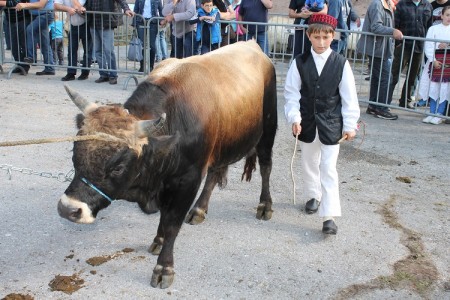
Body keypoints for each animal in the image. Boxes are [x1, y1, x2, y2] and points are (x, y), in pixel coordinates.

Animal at [57, 40, 278, 288]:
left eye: (118, 167)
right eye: (75, 151)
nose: (68, 209)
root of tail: (253, 45)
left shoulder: (187, 180)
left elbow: (172, 222)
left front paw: (164, 267)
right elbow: (165, 218)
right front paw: (159, 239)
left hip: (268, 129)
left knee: (266, 166)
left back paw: (265, 206)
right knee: (215, 173)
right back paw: (199, 210)